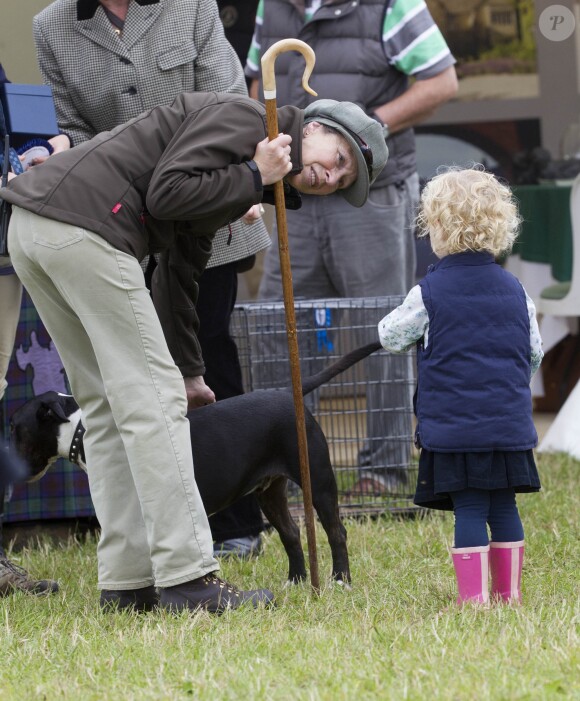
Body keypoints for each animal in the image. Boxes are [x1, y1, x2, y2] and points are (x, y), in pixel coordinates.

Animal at [9, 342, 382, 584]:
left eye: (13, 428)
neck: (81, 429)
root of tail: (288, 393)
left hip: (318, 479)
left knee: (336, 530)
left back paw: (340, 580)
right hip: (270, 491)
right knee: (290, 533)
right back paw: (296, 582)